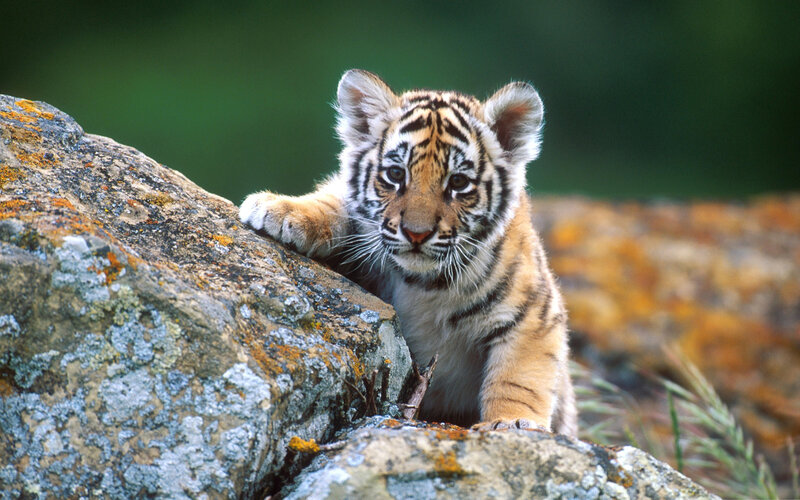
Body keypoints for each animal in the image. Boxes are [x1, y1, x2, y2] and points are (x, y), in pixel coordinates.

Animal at [239, 69, 577, 436]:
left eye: (458, 182)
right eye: (395, 174)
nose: (417, 233)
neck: (423, 284)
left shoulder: (534, 315)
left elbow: (518, 378)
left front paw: (513, 422)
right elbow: (335, 200)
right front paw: (280, 209)